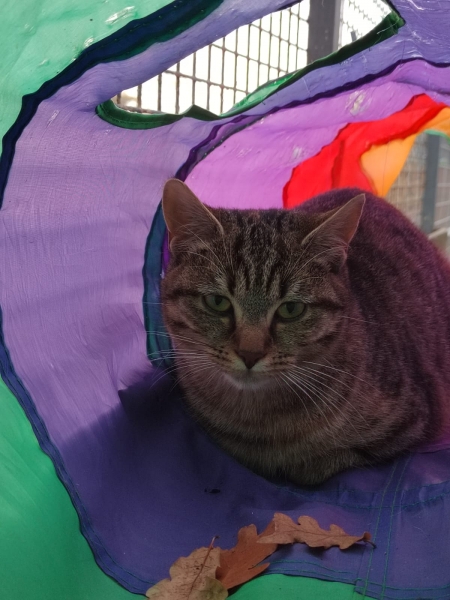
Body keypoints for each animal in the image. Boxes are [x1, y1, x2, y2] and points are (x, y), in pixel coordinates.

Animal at [159, 178, 450, 485]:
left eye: (291, 309)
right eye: (217, 302)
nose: (250, 354)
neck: (259, 419)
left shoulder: (413, 423)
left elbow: (326, 462)